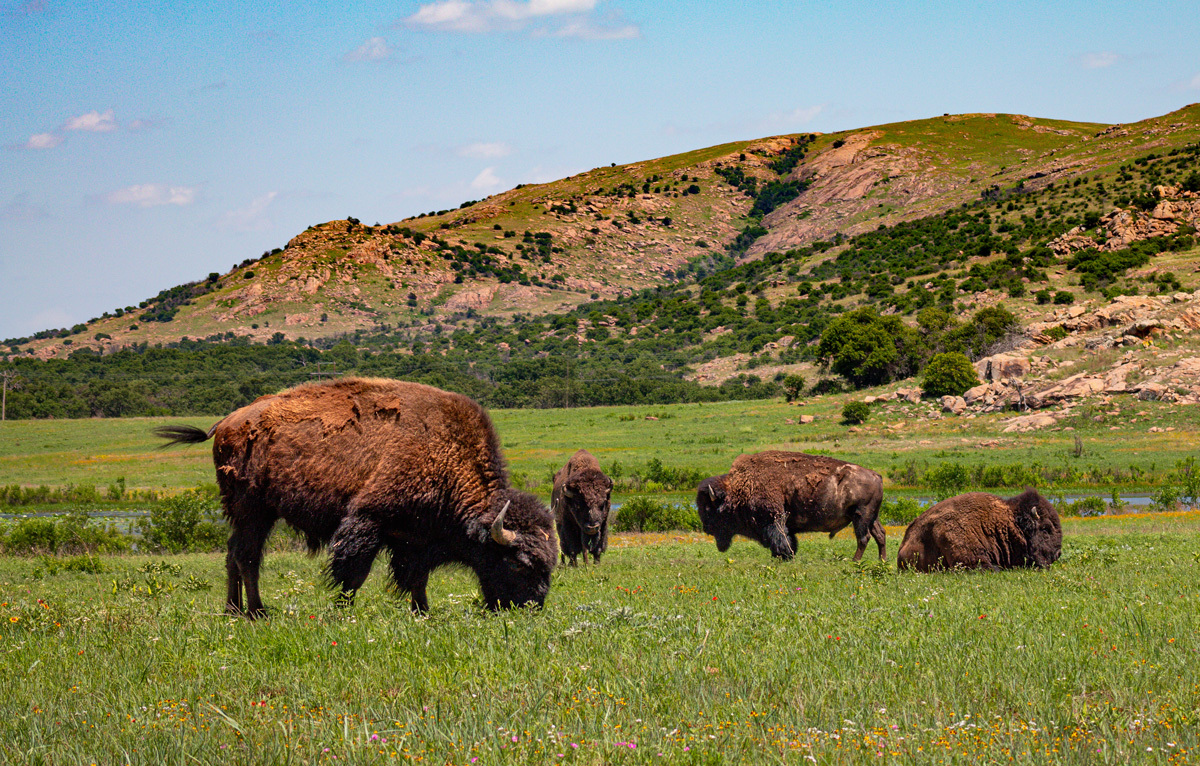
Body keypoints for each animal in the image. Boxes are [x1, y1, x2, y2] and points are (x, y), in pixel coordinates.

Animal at [154, 377, 557, 617]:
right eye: (518, 564)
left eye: (550, 564)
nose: (533, 606)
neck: (445, 451)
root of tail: (226, 423)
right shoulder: (368, 520)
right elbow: (353, 572)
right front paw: (342, 610)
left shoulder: (417, 540)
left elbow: (417, 578)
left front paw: (422, 612)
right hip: (252, 509)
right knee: (246, 556)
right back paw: (256, 611)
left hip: (252, 514)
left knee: (233, 554)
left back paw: (234, 610)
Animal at [696, 451, 885, 561]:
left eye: (709, 509)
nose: (706, 528)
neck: (740, 487)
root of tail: (876, 475)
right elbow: (788, 539)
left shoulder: (774, 520)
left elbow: (781, 539)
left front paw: (783, 556)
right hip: (871, 517)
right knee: (880, 535)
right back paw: (882, 560)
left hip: (860, 516)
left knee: (864, 538)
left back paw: (855, 561)